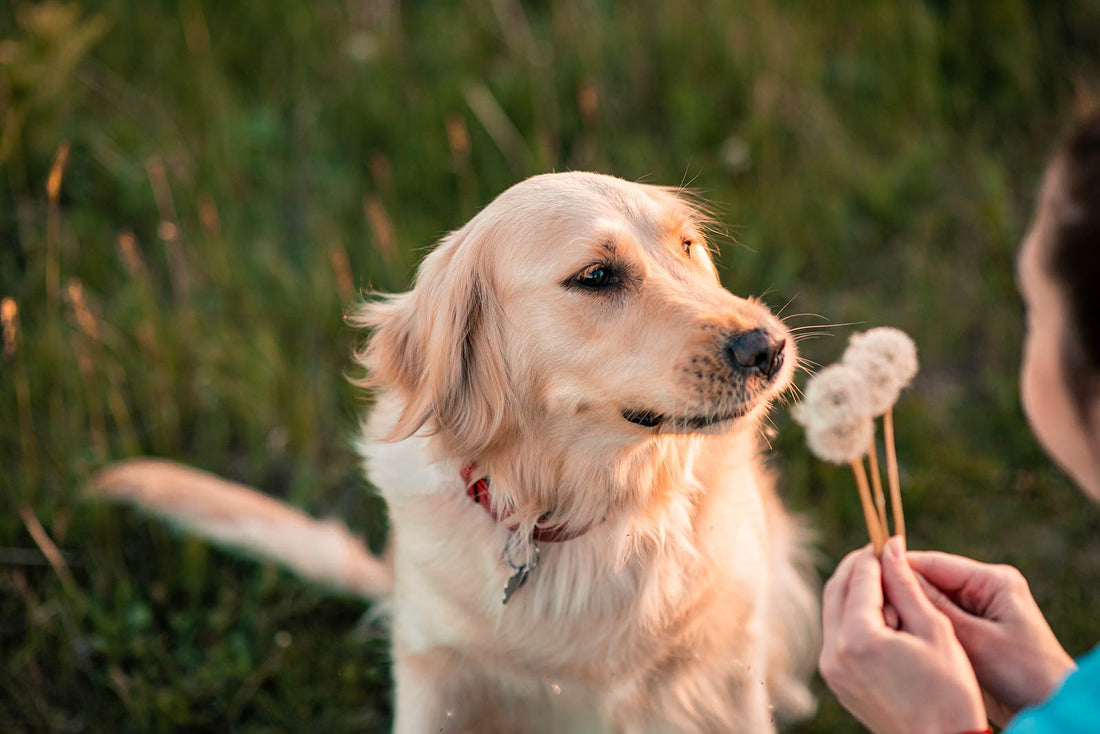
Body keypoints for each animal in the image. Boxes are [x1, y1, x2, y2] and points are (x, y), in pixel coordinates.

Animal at [96, 173, 818, 734]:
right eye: (596, 276)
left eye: (688, 247)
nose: (768, 346)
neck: (578, 509)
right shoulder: (433, 670)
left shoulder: (719, 678)